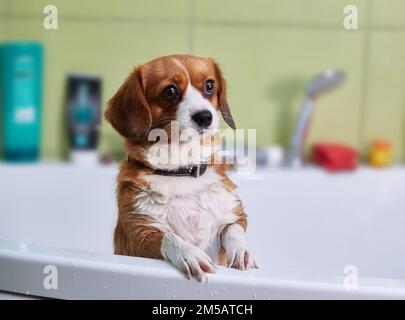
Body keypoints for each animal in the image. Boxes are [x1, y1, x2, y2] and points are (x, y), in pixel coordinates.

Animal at [104, 54, 256, 280]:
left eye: (209, 86)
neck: (181, 171)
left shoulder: (235, 214)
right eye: (170, 91)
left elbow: (234, 230)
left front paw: (241, 251)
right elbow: (170, 237)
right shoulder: (139, 235)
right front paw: (190, 253)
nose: (205, 117)